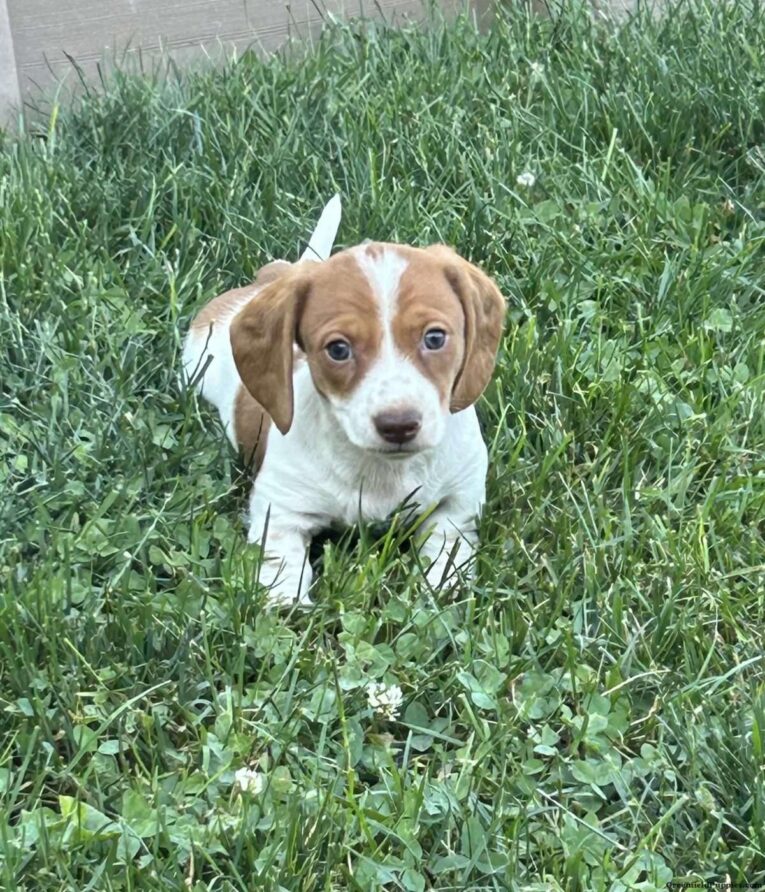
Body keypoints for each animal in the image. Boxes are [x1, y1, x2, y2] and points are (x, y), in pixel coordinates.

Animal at [184, 198, 508, 604]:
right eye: (338, 349)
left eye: (434, 338)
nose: (399, 424)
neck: (383, 471)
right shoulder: (280, 509)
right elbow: (283, 566)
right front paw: (288, 606)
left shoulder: (458, 503)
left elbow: (447, 551)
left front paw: (440, 592)